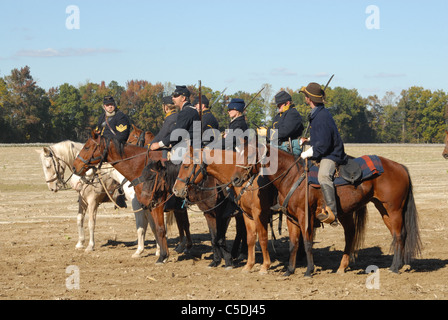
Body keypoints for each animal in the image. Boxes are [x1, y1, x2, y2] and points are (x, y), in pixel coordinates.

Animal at [172, 146, 274, 274]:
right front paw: (216, 261)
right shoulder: (209, 214)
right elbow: (213, 238)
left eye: (186, 166)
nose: (175, 190)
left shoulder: (223, 216)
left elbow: (220, 238)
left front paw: (228, 261)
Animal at [231, 142, 424, 276]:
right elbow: (294, 244)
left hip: (393, 210)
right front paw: (289, 270)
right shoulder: (291, 218)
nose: (235, 179)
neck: (292, 176)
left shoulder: (305, 216)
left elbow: (307, 242)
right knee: (363, 235)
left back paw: (394, 267)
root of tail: (400, 167)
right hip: (381, 210)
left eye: (250, 155)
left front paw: (309, 270)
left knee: (399, 235)